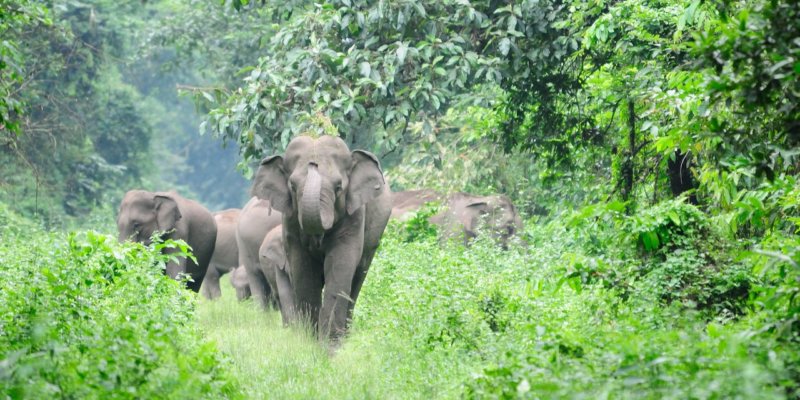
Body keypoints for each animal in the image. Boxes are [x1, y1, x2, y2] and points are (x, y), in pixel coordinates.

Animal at [252, 136, 392, 342]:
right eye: (292, 186)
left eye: (339, 187)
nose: (313, 163)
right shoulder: (290, 221)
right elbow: (304, 270)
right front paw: (310, 342)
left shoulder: (355, 216)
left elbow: (340, 267)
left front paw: (330, 345)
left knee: (357, 279)